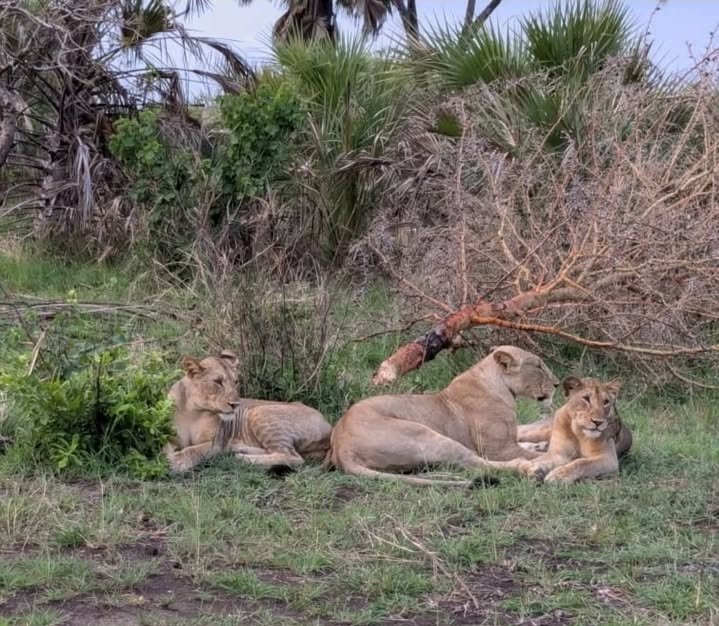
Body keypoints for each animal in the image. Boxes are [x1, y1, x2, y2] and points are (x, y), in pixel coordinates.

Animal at [165, 348, 334, 470]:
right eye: (218, 381)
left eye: (236, 382)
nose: (235, 404)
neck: (194, 412)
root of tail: (329, 425)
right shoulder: (170, 436)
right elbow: (165, 447)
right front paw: (167, 458)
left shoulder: (217, 442)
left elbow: (194, 450)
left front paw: (177, 462)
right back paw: (238, 449)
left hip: (259, 412)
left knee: (293, 457)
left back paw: (243, 458)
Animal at [328, 344, 564, 486]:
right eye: (539, 366)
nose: (557, 384)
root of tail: (340, 446)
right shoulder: (499, 450)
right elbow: (532, 454)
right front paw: (542, 455)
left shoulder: (509, 441)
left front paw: (540, 445)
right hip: (426, 434)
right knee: (475, 462)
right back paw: (529, 469)